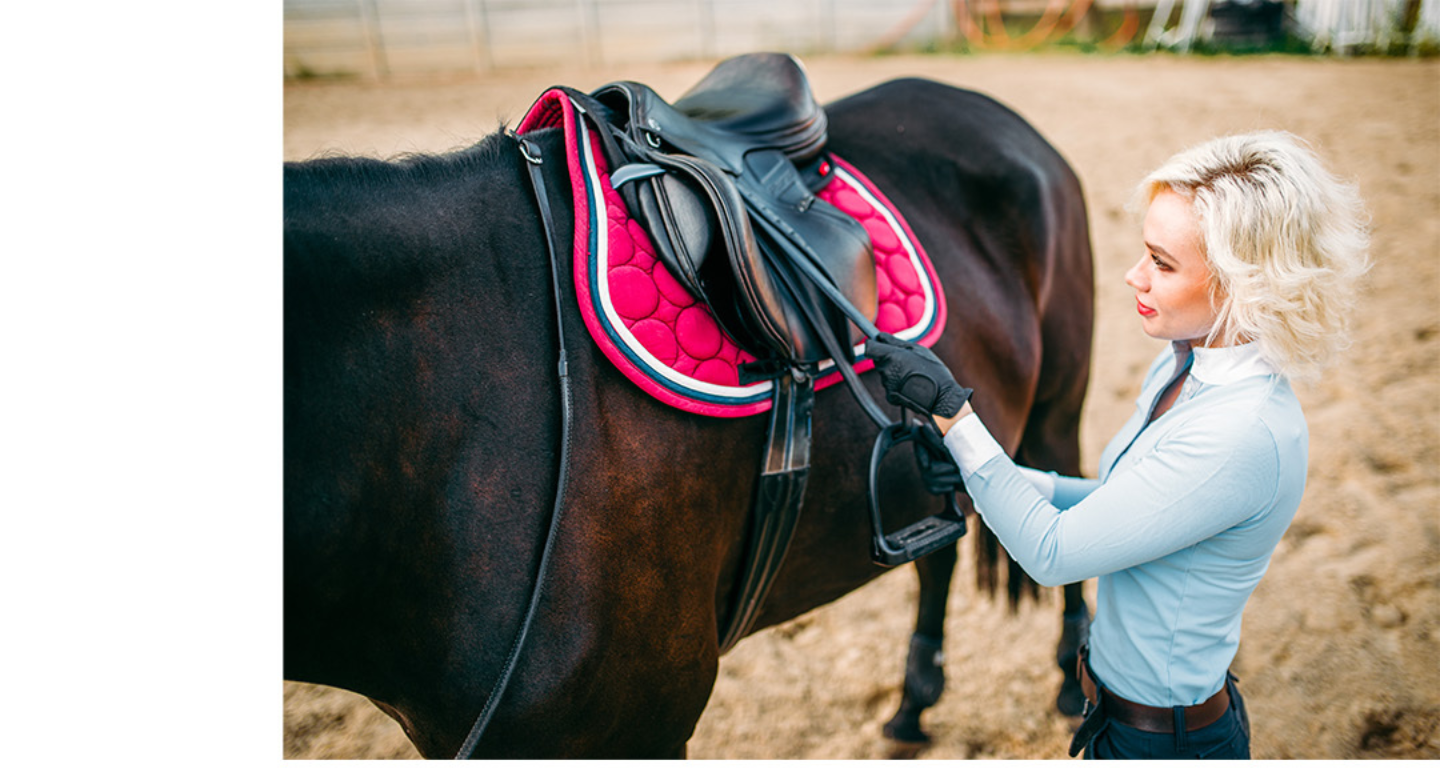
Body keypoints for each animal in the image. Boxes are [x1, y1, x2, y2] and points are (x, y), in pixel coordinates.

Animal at [284, 68, 1093, 758]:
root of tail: (990, 109)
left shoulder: (643, 718)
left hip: (1058, 408)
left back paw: (1071, 686)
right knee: (940, 550)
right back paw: (912, 707)